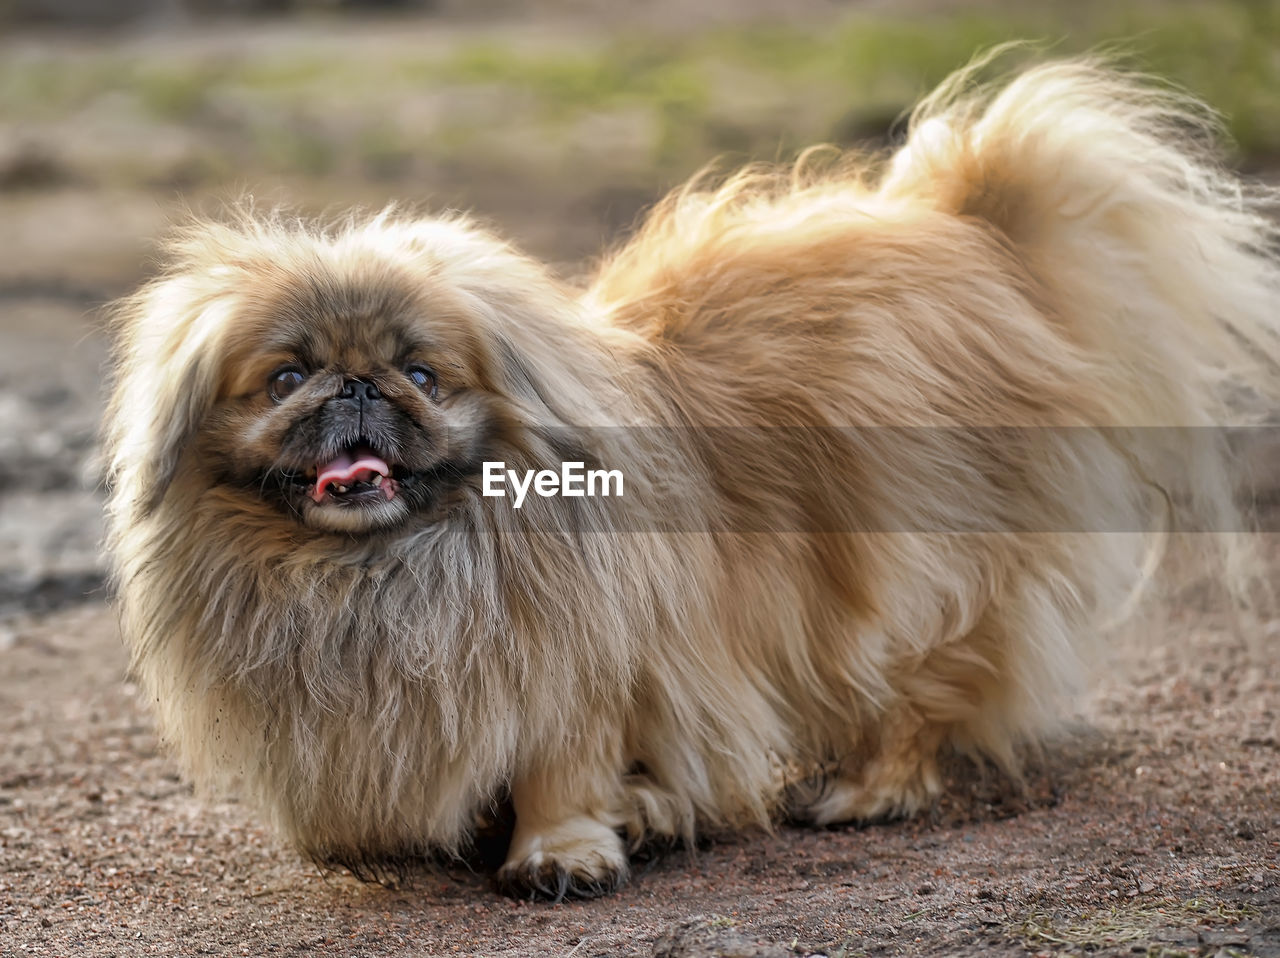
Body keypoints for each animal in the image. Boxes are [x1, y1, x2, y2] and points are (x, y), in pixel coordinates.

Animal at [102, 57, 1280, 896]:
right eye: (285, 377)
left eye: (422, 374)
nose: (355, 386)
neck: (386, 570)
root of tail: (967, 229)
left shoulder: (577, 669)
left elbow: (563, 768)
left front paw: (561, 853)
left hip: (905, 578)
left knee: (921, 688)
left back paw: (863, 793)